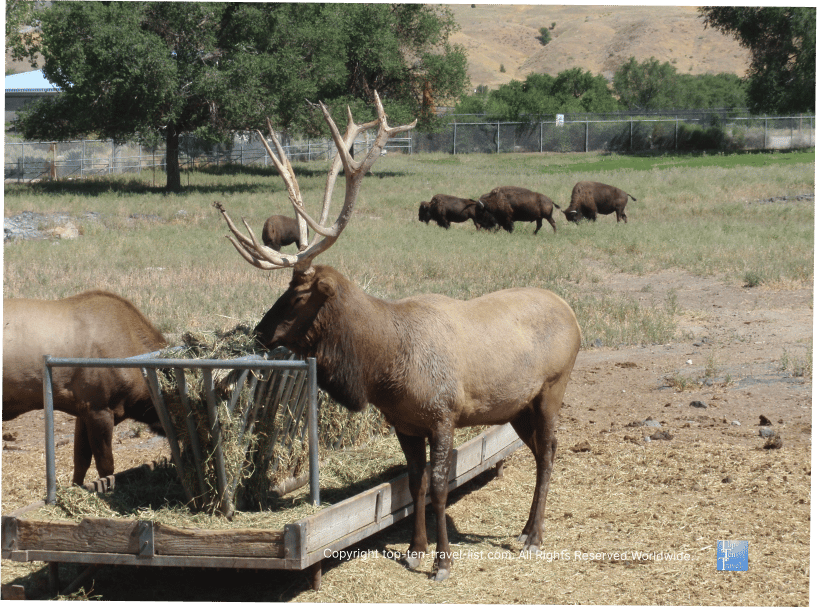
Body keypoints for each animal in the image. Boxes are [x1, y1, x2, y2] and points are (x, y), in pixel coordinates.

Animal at [213, 92, 582, 582]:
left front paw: (443, 562)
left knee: (550, 451)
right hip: (517, 404)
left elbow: (441, 486)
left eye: (298, 294)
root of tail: (573, 315)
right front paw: (416, 549)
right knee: (539, 451)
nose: (259, 331)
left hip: (552, 388)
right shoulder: (404, 422)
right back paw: (523, 530)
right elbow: (415, 482)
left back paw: (535, 536)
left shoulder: (444, 413)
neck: (385, 367)